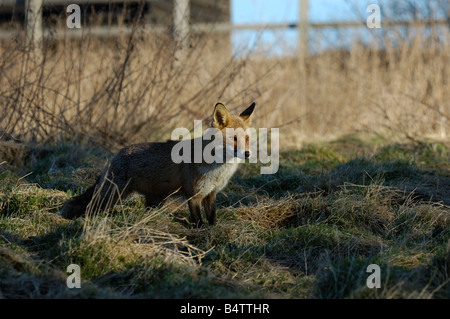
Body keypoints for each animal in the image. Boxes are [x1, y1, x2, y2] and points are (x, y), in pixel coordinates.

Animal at [59, 102, 256, 228]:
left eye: (247, 139)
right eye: (233, 139)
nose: (247, 154)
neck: (218, 170)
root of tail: (116, 155)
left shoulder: (211, 193)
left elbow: (212, 218)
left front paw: (213, 232)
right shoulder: (193, 195)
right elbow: (199, 222)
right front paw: (202, 235)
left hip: (155, 200)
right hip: (111, 195)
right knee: (90, 207)